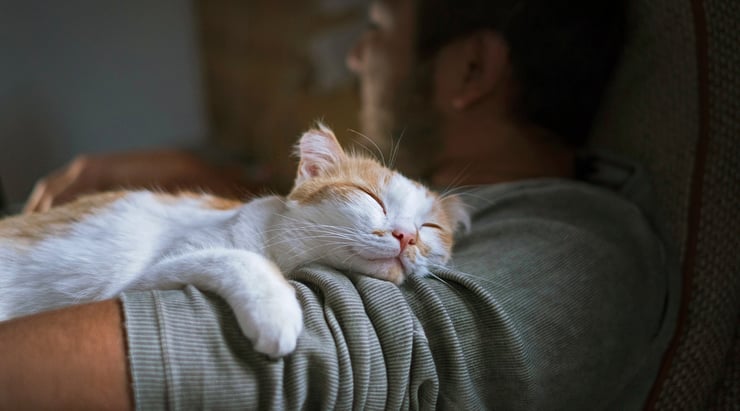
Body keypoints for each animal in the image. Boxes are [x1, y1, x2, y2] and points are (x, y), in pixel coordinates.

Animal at [0, 124, 472, 358]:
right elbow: (240, 258)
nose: (406, 236)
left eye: (430, 229)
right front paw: (276, 313)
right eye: (370, 197)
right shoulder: (142, 278)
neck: (277, 241)